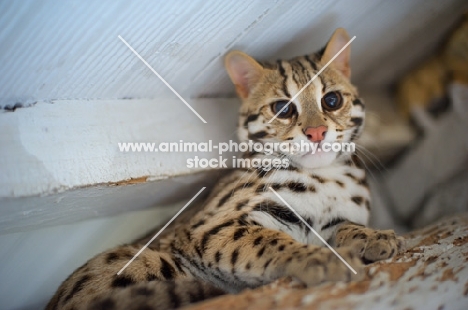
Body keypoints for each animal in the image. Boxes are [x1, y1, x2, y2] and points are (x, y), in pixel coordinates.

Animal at [48, 28, 406, 310]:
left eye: (331, 101)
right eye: (283, 109)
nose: (317, 132)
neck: (324, 177)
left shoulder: (331, 221)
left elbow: (346, 227)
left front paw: (374, 236)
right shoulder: (213, 226)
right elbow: (272, 241)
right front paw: (317, 259)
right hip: (148, 260)